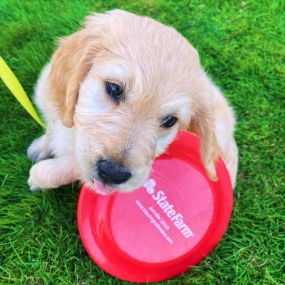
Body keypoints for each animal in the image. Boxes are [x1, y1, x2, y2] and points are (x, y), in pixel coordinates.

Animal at [26, 10, 236, 194]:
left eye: (170, 120)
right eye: (114, 89)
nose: (113, 173)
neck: (74, 131)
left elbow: (69, 166)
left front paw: (38, 176)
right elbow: (52, 128)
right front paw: (40, 147)